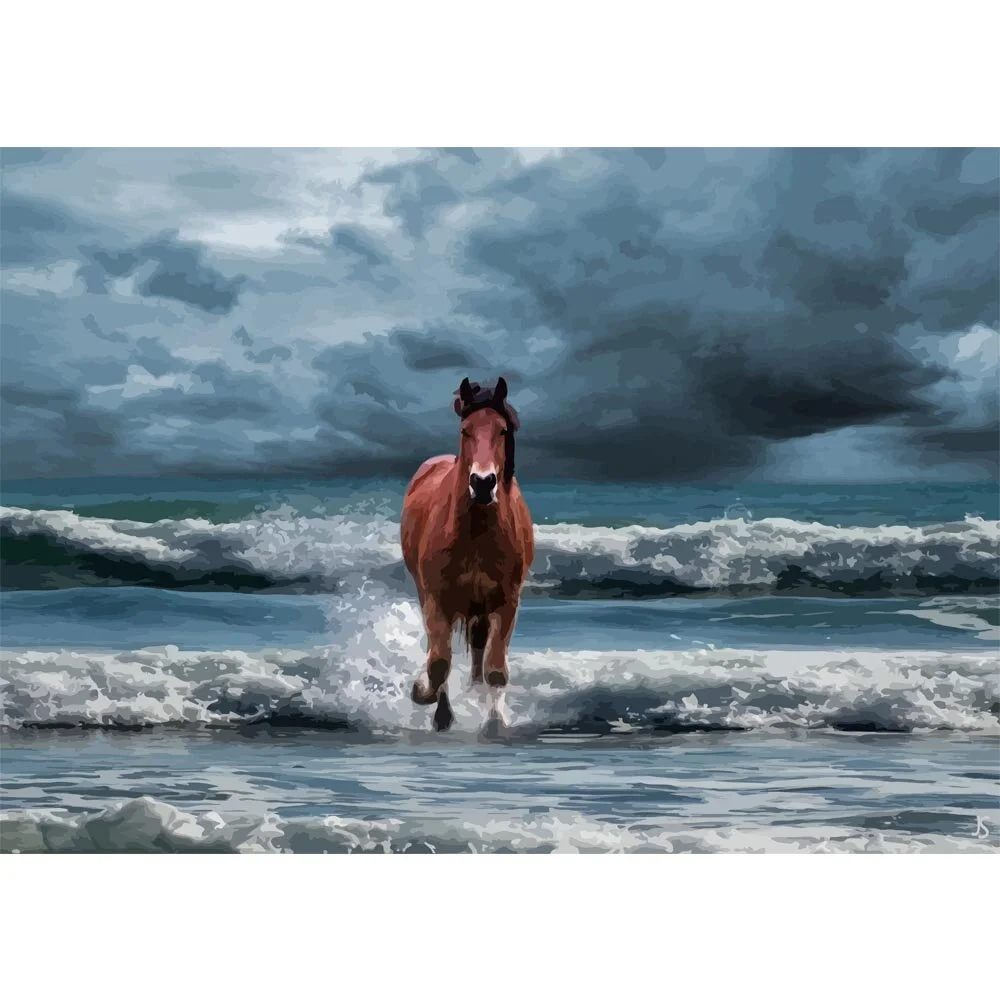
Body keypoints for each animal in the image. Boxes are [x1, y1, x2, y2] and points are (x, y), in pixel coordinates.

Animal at [400, 376, 534, 732]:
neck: (475, 534)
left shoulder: (505, 602)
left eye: (502, 430)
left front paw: (495, 721)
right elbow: (438, 663)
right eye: (466, 430)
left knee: (478, 649)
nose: (483, 483)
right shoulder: (437, 601)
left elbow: (495, 669)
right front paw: (424, 695)